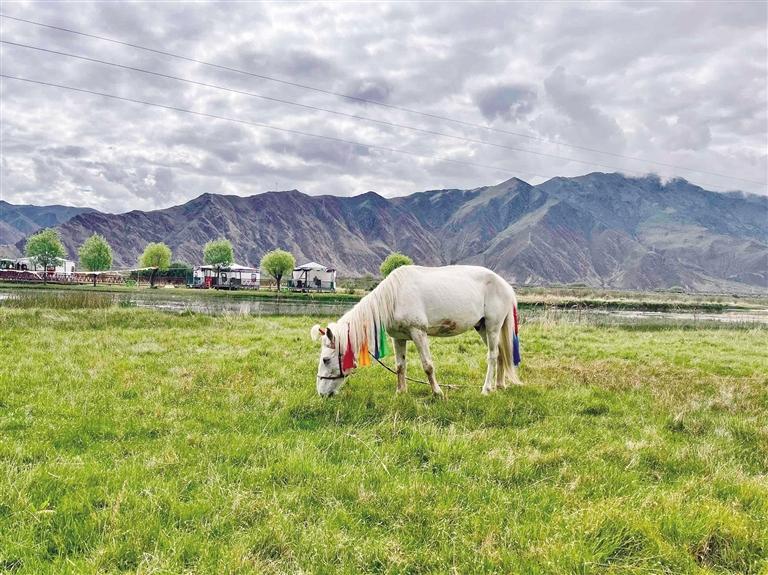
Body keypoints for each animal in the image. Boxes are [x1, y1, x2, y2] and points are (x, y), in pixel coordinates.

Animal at [310, 265, 522, 397]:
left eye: (326, 359)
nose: (321, 393)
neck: (393, 298)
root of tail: (505, 285)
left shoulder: (419, 333)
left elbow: (427, 366)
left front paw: (437, 392)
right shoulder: (398, 338)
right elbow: (400, 366)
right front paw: (401, 392)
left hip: (493, 326)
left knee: (492, 356)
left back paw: (486, 389)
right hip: (482, 327)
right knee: (500, 353)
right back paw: (499, 385)